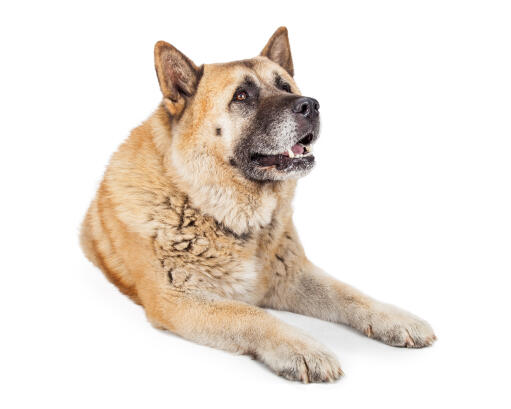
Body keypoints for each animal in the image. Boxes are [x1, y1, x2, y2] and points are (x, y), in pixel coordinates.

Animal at [80, 27, 436, 380]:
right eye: (241, 96)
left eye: (285, 86)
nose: (311, 105)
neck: (214, 210)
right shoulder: (180, 300)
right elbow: (251, 315)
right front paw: (303, 348)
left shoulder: (292, 275)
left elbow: (348, 293)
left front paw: (395, 318)